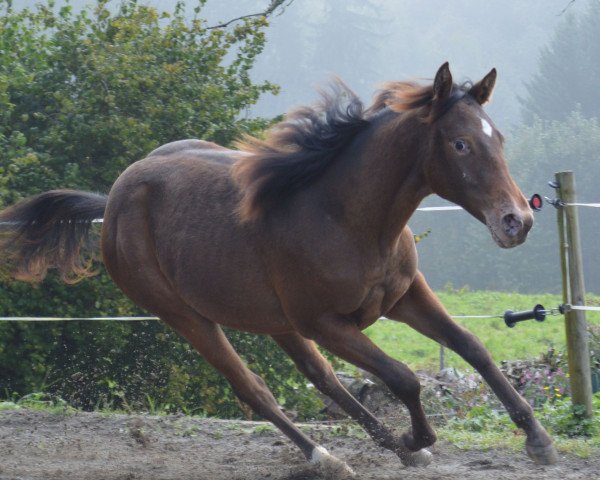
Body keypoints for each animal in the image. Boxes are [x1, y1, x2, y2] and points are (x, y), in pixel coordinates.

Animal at [0, 62, 556, 476]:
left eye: (499, 138)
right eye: (460, 143)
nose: (517, 221)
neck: (347, 216)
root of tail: (112, 199)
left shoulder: (403, 296)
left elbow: (472, 347)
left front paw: (537, 439)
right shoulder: (326, 322)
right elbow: (403, 378)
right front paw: (418, 437)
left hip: (273, 319)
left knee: (320, 377)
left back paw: (386, 447)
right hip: (187, 317)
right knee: (253, 388)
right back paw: (325, 456)